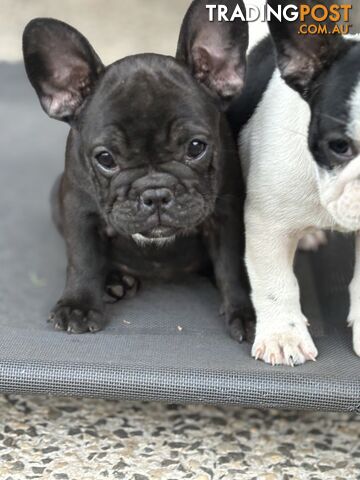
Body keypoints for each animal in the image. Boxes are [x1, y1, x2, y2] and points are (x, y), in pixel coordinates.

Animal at [21, 0, 256, 338]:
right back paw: (113, 281)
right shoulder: (78, 209)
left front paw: (246, 311)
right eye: (106, 159)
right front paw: (79, 304)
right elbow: (83, 257)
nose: (155, 193)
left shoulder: (227, 213)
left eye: (196, 147)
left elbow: (232, 264)